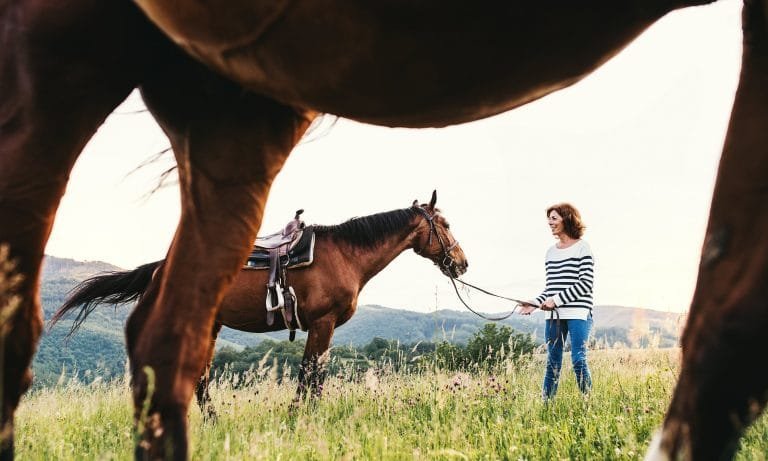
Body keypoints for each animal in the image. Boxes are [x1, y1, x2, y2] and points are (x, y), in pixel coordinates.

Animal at [49, 193, 468, 417]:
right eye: (445, 224)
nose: (462, 263)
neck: (346, 255)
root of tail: (159, 270)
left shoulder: (320, 327)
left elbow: (311, 372)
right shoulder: (323, 323)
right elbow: (311, 374)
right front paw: (303, 416)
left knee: (198, 379)